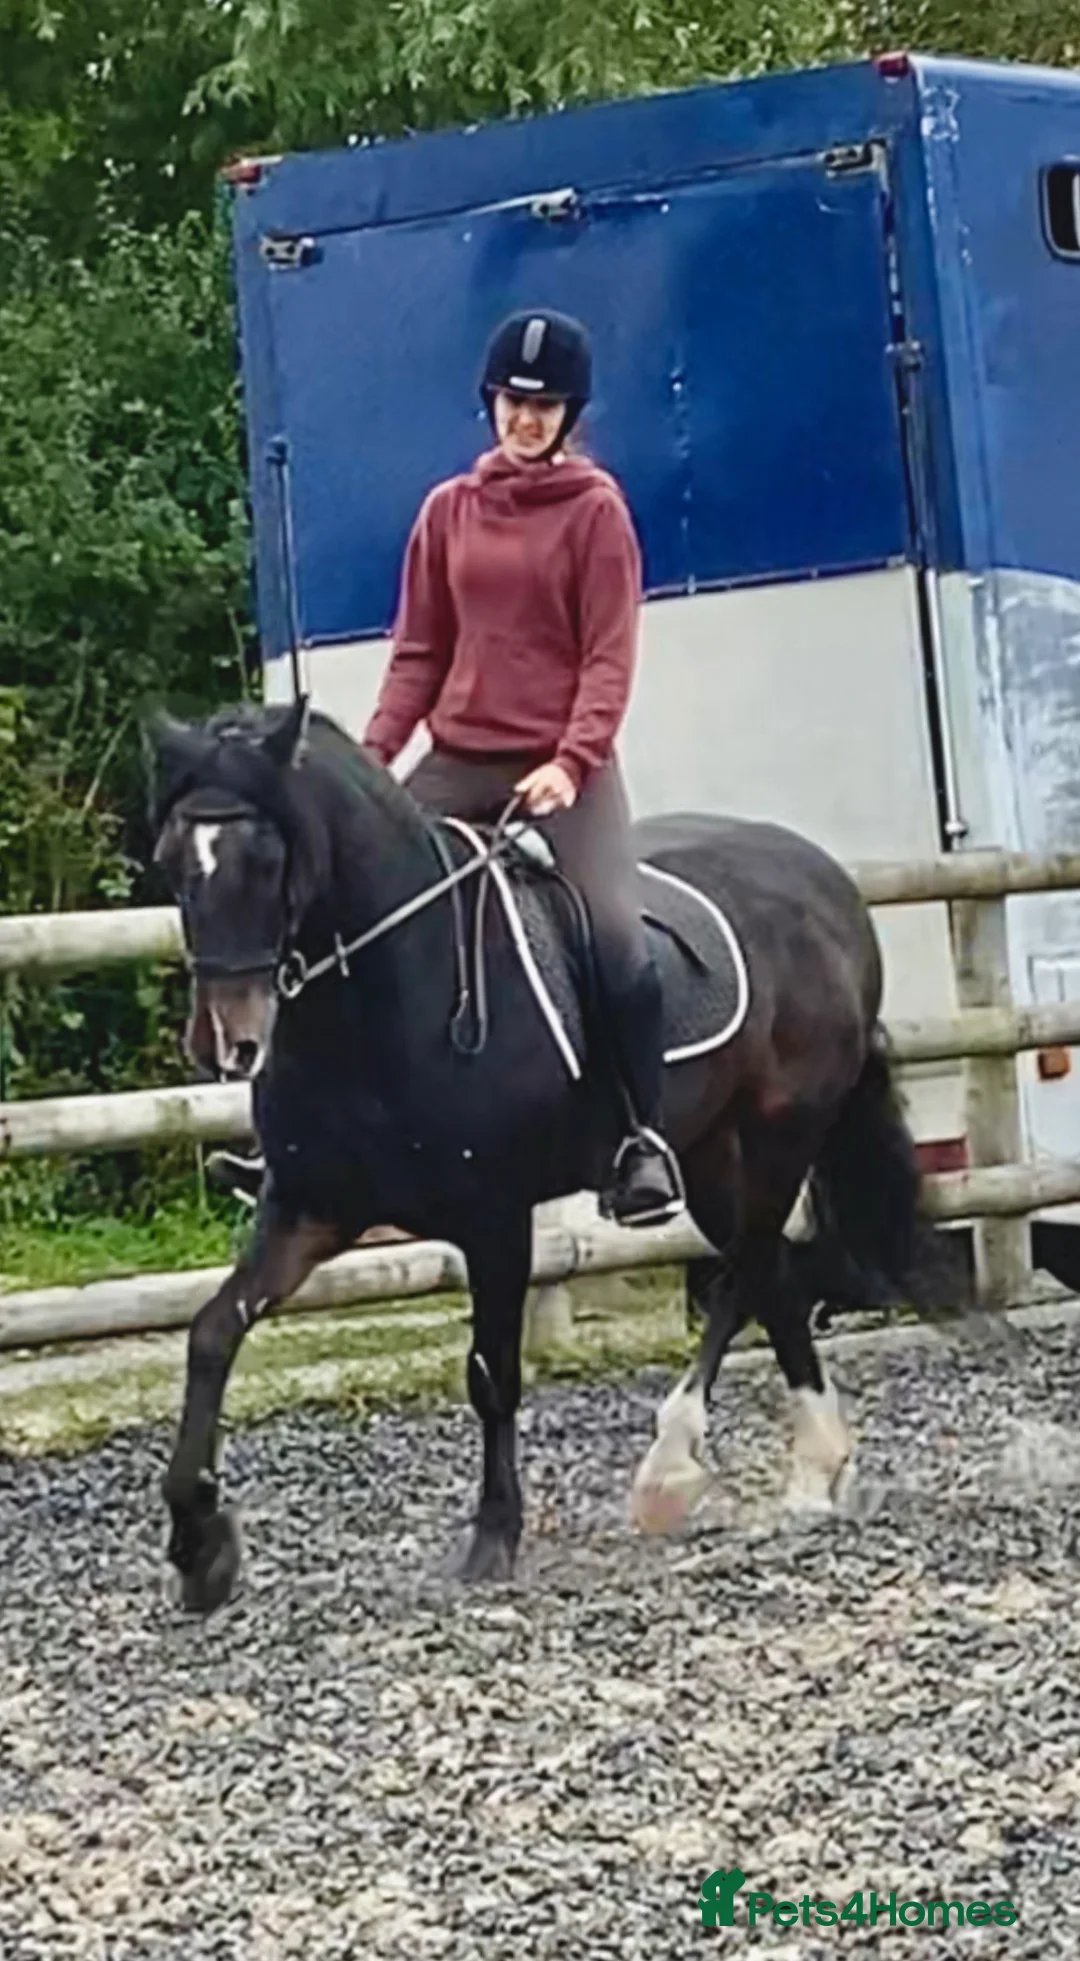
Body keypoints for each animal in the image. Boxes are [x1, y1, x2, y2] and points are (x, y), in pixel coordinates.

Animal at [147, 697, 946, 1614]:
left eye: (269, 855)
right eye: (173, 859)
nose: (226, 1042)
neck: (391, 993)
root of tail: (828, 882)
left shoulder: (493, 1217)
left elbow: (492, 1371)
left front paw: (493, 1537)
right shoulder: (308, 1209)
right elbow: (211, 1335)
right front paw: (199, 1545)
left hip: (782, 1135)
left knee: (746, 1270)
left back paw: (672, 1467)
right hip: (711, 1151)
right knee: (771, 1275)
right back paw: (813, 1466)